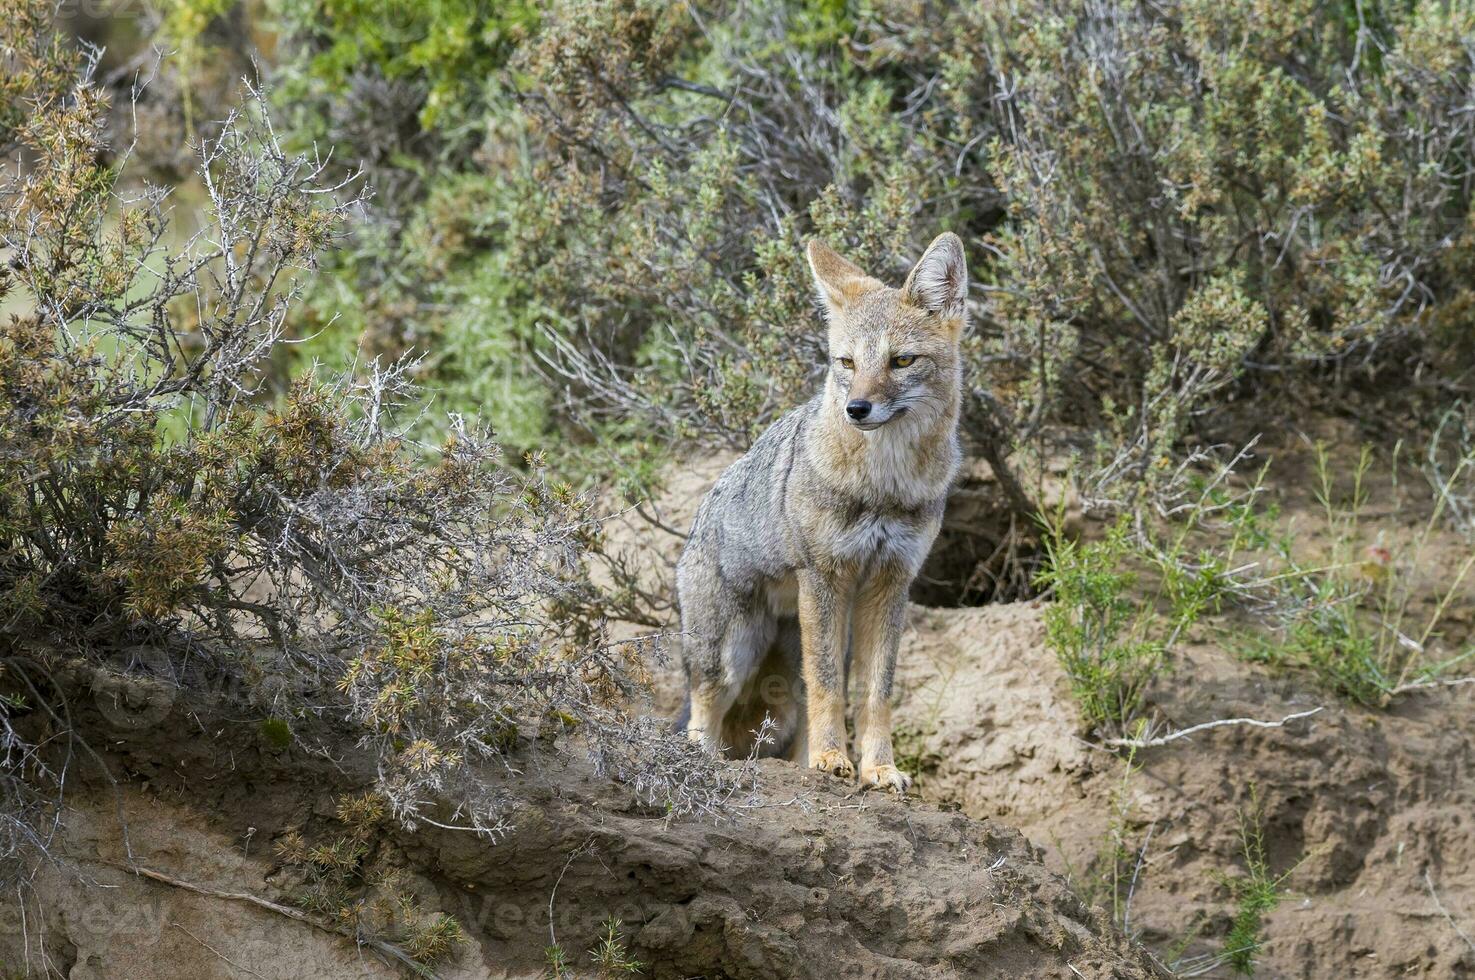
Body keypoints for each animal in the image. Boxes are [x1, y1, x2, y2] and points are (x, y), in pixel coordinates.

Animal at [675, 233, 967, 791]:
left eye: (901, 361)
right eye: (846, 363)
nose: (857, 409)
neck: (883, 485)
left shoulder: (891, 580)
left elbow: (876, 693)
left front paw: (879, 767)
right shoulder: (825, 575)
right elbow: (831, 687)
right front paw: (833, 759)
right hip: (732, 652)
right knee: (704, 714)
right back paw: (707, 761)